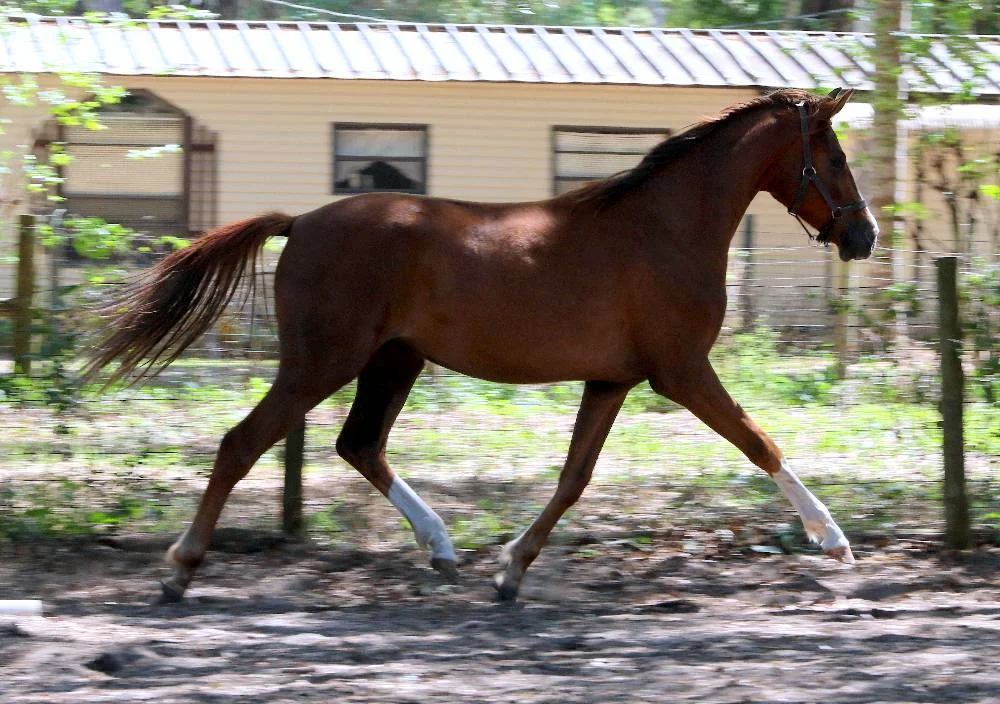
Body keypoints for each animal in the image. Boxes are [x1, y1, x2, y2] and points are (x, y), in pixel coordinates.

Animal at [84, 87, 878, 604]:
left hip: (392, 361)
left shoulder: (612, 381)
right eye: (836, 156)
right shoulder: (680, 373)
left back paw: (441, 550)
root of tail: (302, 221)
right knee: (242, 444)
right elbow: (759, 441)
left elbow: (573, 478)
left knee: (358, 445)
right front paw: (832, 538)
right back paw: (179, 570)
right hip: (322, 362)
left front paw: (511, 569)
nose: (863, 235)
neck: (663, 228)